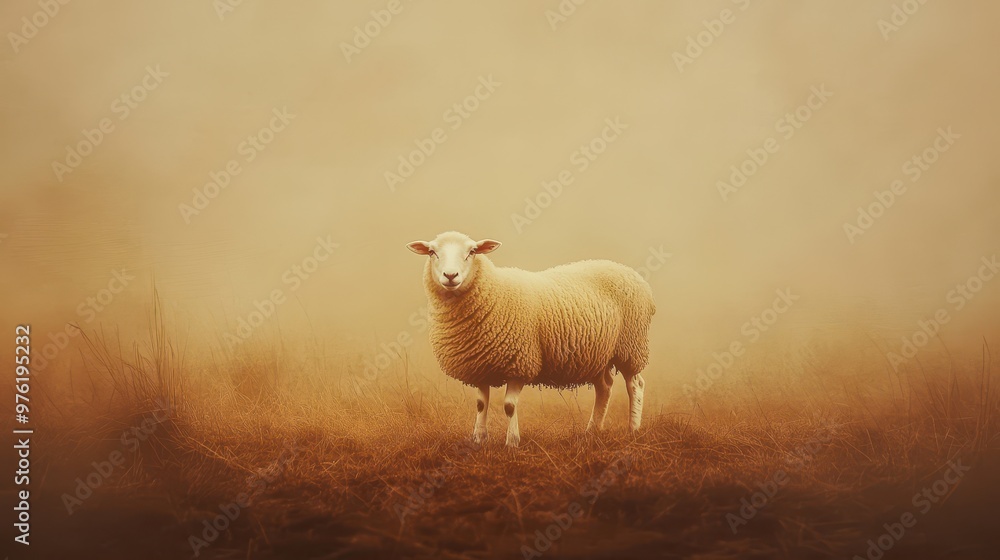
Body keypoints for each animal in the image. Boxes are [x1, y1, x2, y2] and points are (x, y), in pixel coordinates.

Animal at [406, 231, 655, 447]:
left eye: (472, 251)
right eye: (432, 252)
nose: (450, 276)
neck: (493, 293)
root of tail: (631, 273)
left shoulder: (521, 362)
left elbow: (509, 406)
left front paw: (512, 442)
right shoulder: (480, 364)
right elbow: (480, 404)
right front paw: (478, 438)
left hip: (631, 346)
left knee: (635, 385)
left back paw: (633, 429)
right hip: (598, 354)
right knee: (604, 388)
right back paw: (592, 431)